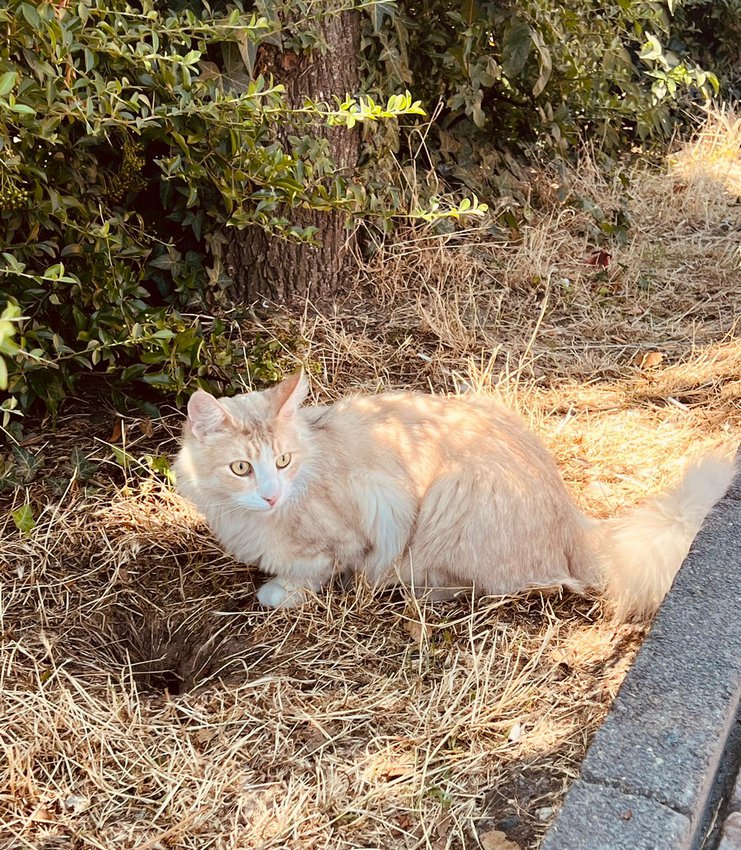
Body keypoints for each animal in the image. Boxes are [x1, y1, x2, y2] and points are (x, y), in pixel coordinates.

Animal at [173, 370, 736, 616]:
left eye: (283, 462)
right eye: (242, 468)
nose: (270, 496)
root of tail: (574, 517)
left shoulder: (367, 515)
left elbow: (312, 572)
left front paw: (279, 592)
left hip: (454, 497)